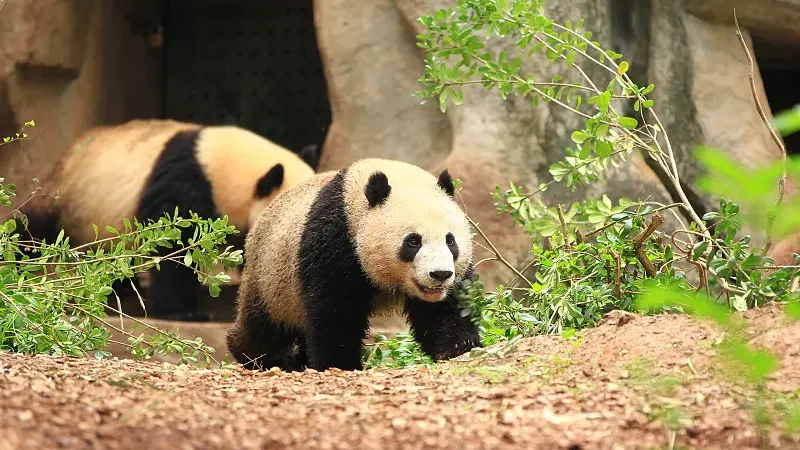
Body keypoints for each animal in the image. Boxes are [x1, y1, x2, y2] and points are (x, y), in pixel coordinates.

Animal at [226, 158, 483, 371]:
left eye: (450, 240)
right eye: (413, 241)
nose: (440, 274)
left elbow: (445, 308)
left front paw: (457, 346)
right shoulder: (334, 239)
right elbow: (334, 309)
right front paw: (340, 363)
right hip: (272, 279)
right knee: (263, 327)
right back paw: (264, 356)